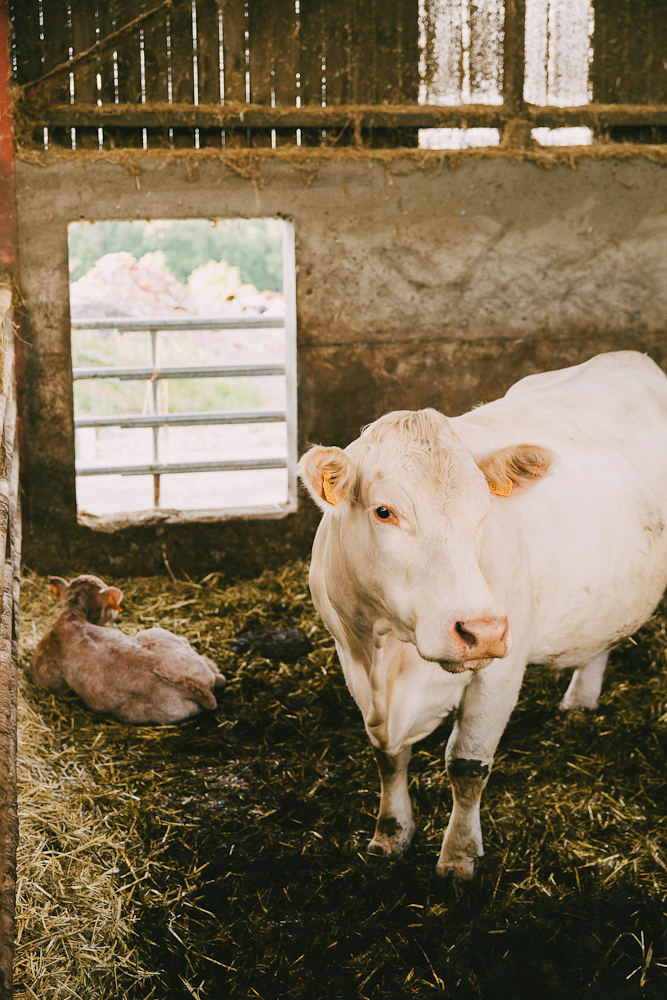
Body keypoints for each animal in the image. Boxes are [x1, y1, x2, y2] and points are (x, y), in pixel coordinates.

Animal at [298, 350, 667, 876]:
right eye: (384, 511)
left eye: (483, 512)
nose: (482, 629)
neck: (389, 657)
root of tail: (629, 356)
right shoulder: (351, 658)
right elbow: (388, 758)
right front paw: (390, 835)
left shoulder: (500, 670)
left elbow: (467, 765)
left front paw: (457, 858)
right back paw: (581, 699)